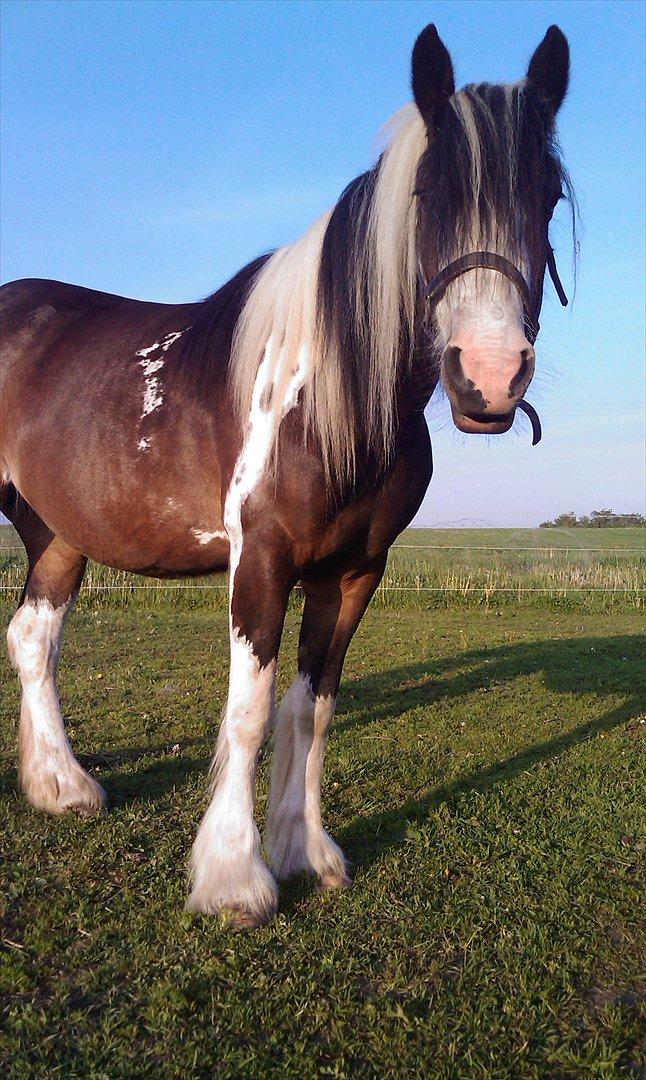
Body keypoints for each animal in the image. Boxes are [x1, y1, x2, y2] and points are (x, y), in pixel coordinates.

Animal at [2, 29, 574, 933]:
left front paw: (306, 851)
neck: (332, 395)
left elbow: (311, 707)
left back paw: (63, 787)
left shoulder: (353, 573)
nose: (488, 377)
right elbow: (249, 710)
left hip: (59, 536)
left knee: (34, 637)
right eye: (427, 192)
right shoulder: (261, 561)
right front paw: (234, 878)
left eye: (547, 195)